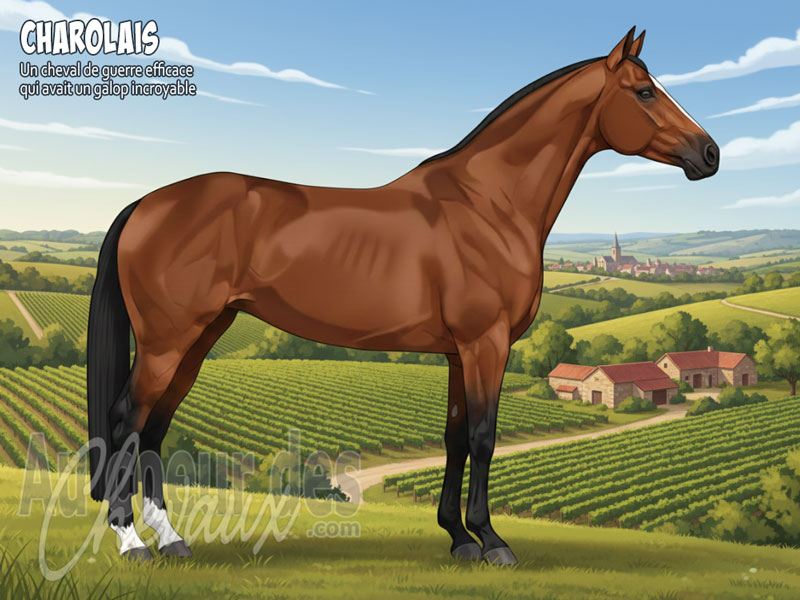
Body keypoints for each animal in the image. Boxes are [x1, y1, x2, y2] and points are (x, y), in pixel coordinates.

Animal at [86, 27, 718, 565]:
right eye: (643, 92)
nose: (709, 154)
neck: (489, 203)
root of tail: (145, 204)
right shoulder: (486, 343)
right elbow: (484, 437)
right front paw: (492, 541)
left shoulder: (460, 351)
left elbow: (456, 437)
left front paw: (458, 538)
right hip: (168, 341)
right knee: (126, 419)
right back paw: (131, 541)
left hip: (197, 339)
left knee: (154, 428)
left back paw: (172, 539)